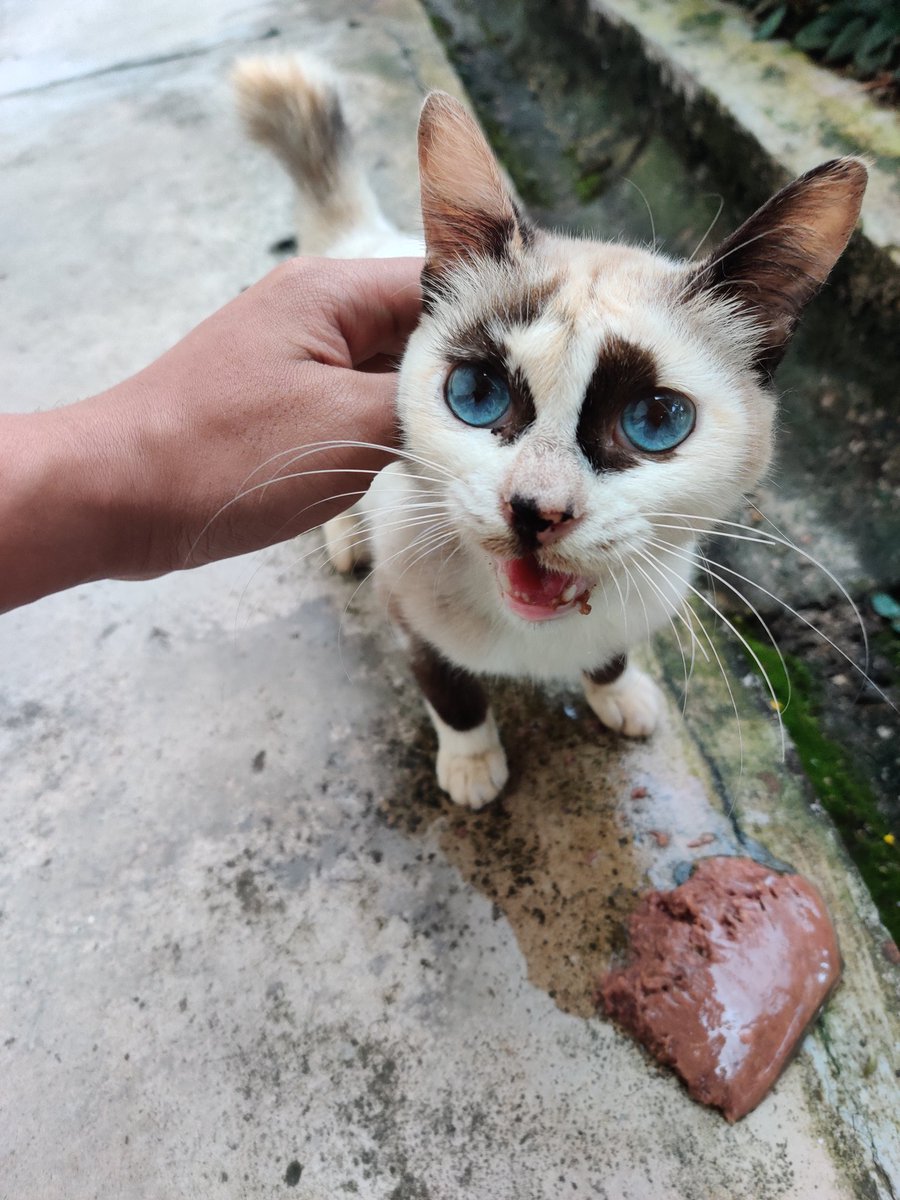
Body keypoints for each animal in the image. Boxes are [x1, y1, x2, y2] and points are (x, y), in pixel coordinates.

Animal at [236, 54, 868, 806]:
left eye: (656, 421)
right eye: (476, 396)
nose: (537, 510)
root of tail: (371, 240)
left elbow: (610, 653)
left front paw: (618, 691)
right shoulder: (408, 614)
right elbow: (449, 690)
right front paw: (473, 762)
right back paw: (347, 538)